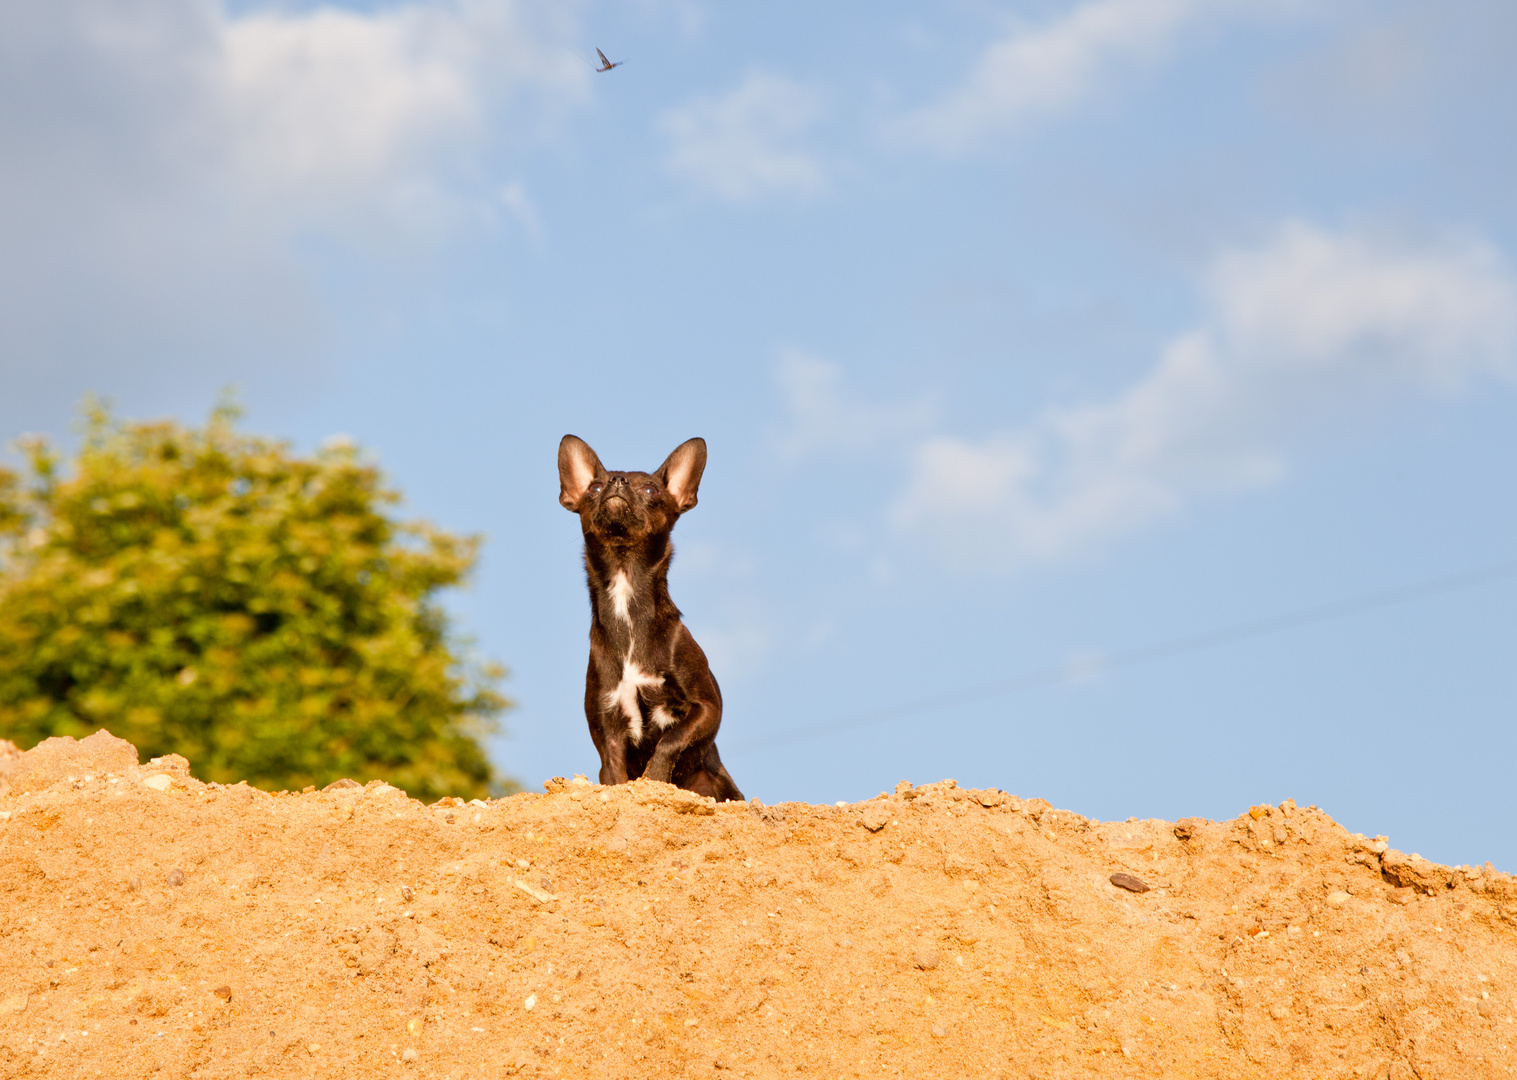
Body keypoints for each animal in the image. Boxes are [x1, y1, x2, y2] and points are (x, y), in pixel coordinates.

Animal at [558, 433, 746, 800]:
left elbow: (672, 740)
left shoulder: (707, 708)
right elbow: (615, 775)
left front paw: (654, 778)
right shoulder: (609, 734)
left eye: (651, 490)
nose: (617, 481)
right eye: (594, 487)